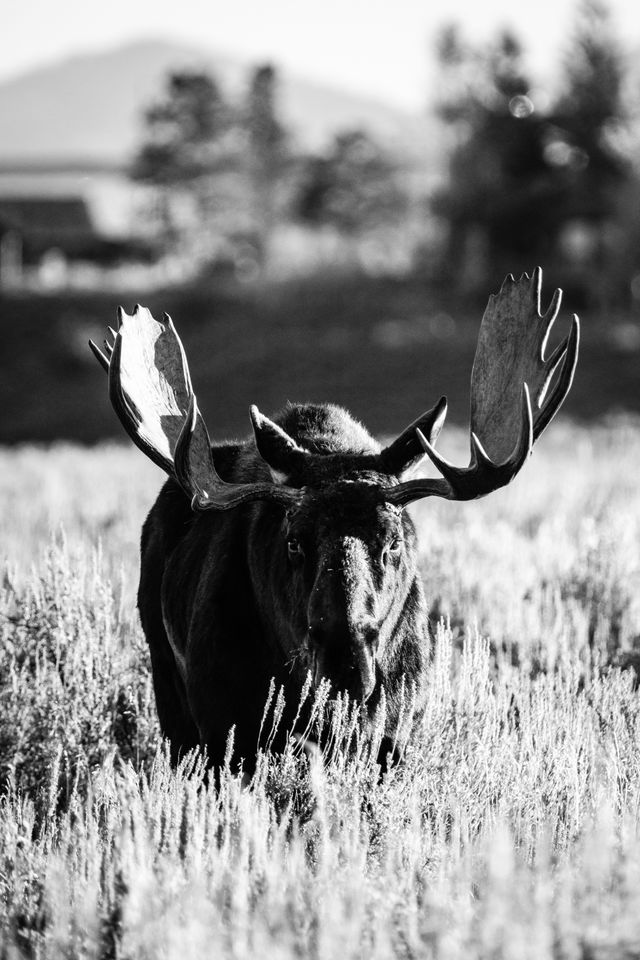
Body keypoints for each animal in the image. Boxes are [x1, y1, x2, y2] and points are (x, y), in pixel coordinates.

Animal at [89, 266, 580, 768]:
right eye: (293, 541)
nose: (345, 665)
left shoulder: (394, 736)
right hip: (168, 687)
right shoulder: (224, 729)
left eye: (393, 541)